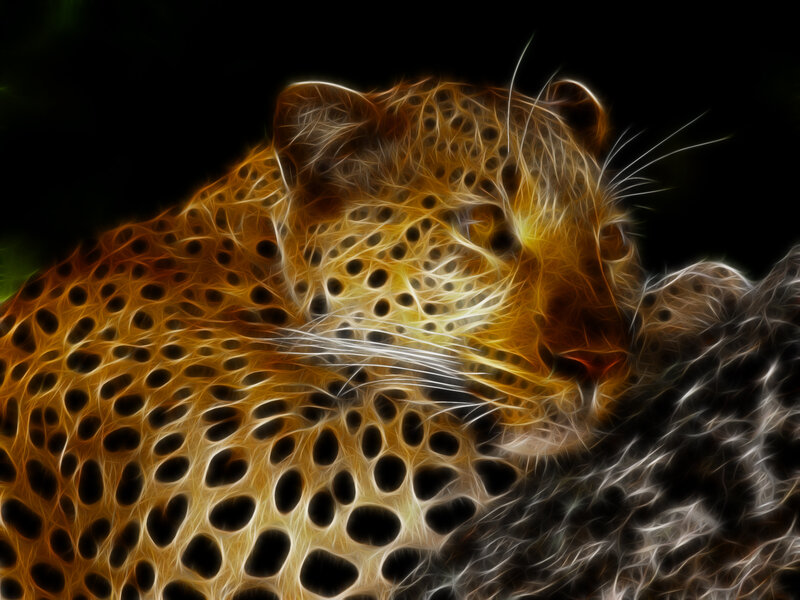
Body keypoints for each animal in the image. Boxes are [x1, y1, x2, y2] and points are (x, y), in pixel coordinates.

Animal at [0, 75, 797, 600]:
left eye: (611, 244)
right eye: (483, 227)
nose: (598, 360)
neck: (245, 266)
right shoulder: (266, 508)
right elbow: (436, 424)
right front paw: (695, 294)